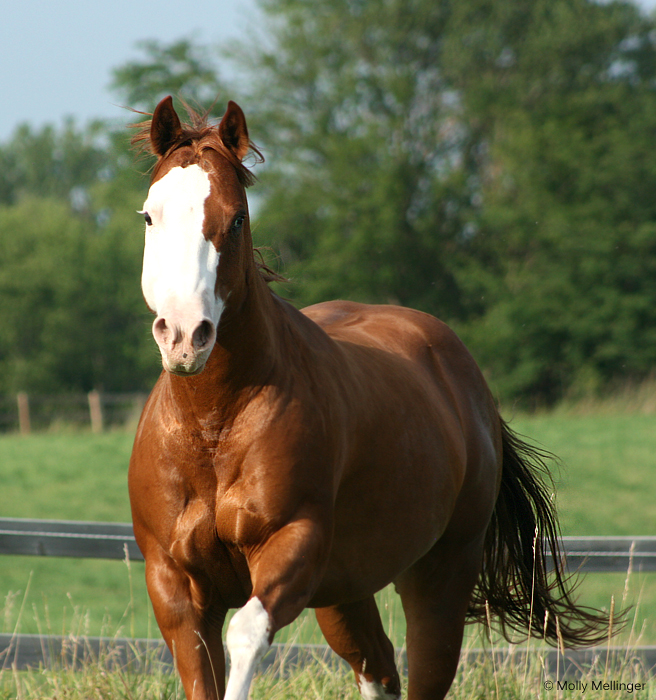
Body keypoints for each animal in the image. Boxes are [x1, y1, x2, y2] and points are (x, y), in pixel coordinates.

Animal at [127, 97, 608, 700]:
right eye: (150, 215)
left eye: (235, 218)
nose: (186, 335)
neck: (214, 426)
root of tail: (465, 378)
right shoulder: (173, 587)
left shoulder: (295, 545)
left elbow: (246, 634)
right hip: (345, 592)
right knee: (378, 669)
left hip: (439, 576)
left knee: (421, 669)